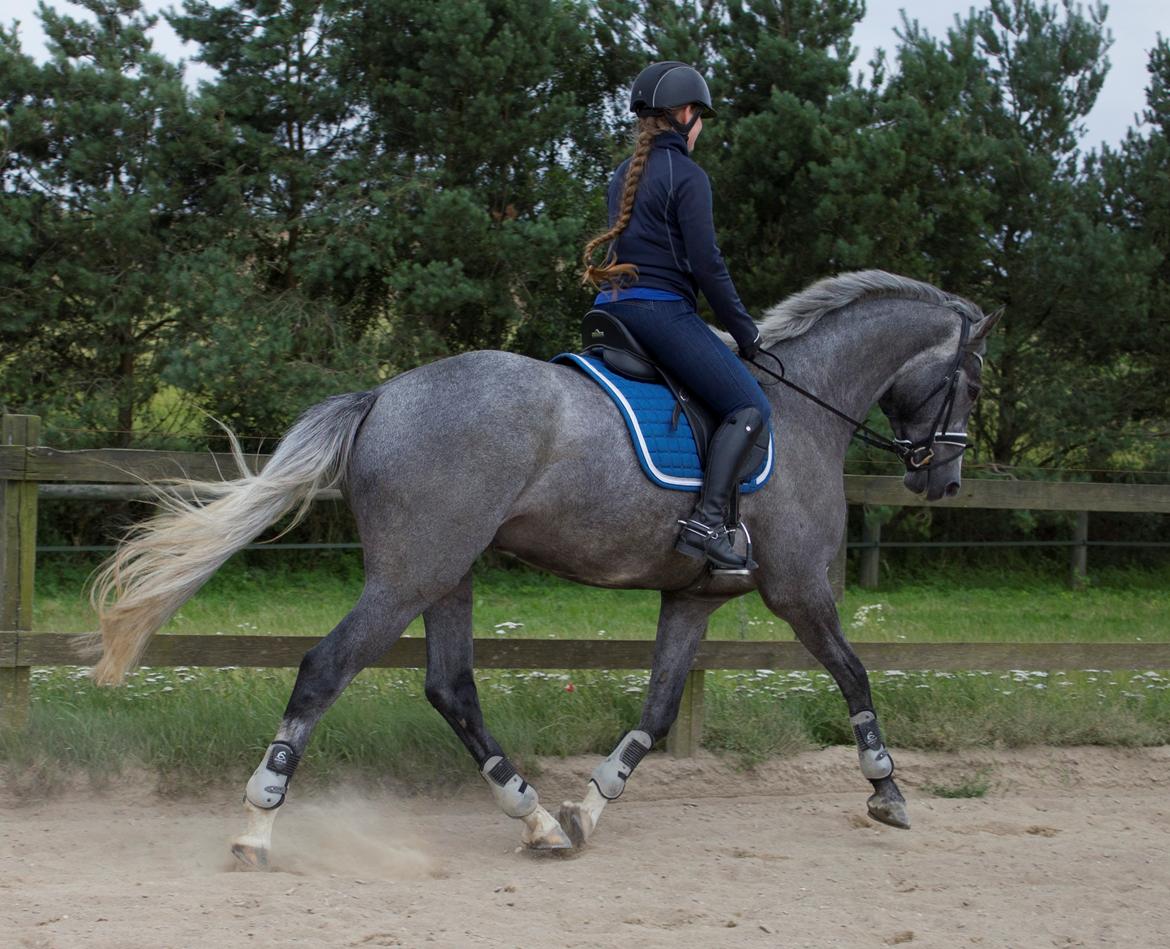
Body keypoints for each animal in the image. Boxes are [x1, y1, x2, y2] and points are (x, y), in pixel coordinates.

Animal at [88, 269, 996, 870]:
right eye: (975, 384)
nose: (944, 481)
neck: (808, 407)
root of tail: (383, 395)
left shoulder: (693, 598)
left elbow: (657, 713)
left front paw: (588, 807)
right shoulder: (801, 591)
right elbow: (854, 674)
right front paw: (888, 791)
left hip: (448, 574)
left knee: (451, 688)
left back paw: (534, 820)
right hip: (410, 574)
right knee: (325, 668)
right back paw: (257, 825)